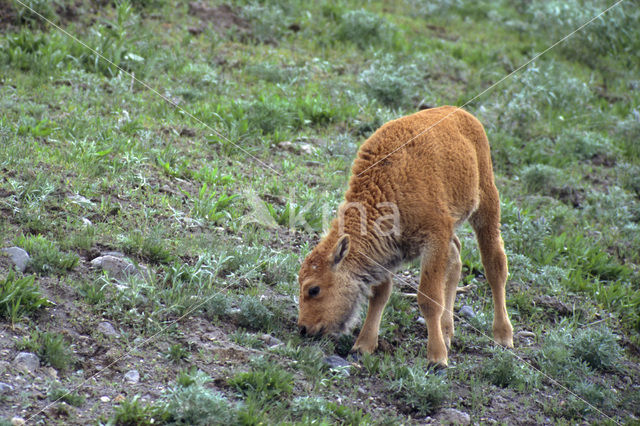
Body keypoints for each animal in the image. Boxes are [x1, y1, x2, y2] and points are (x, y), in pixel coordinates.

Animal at [298, 105, 512, 366]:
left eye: (314, 289)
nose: (303, 329)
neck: (386, 186)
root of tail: (461, 113)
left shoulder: (434, 239)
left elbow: (428, 298)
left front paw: (437, 359)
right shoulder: (388, 252)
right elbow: (380, 295)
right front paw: (363, 346)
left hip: (486, 204)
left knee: (495, 265)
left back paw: (503, 336)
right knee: (456, 259)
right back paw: (447, 332)